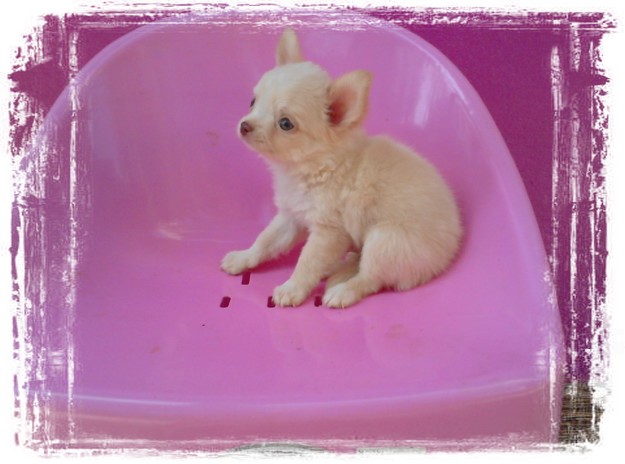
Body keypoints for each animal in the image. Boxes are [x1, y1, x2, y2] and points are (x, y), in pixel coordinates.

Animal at [221, 28, 462, 308]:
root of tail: (450, 251)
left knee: (370, 278)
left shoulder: (328, 233)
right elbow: (265, 240)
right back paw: (341, 265)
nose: (244, 125)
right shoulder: (291, 216)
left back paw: (343, 291)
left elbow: (307, 262)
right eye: (252, 102)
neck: (314, 168)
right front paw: (243, 257)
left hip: (385, 240)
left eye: (285, 124)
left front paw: (292, 288)